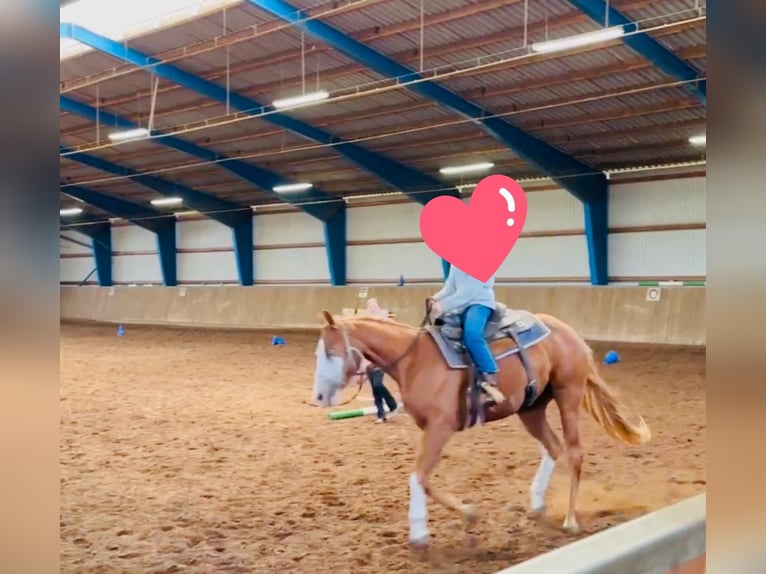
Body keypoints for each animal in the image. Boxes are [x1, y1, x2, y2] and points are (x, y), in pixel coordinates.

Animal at [312, 305, 651, 548]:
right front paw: (462, 515)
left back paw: (569, 520)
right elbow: (422, 478)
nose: (318, 397)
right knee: (554, 447)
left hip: (569, 394)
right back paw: (537, 502)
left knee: (575, 453)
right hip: (531, 408)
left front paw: (424, 531)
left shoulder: (440, 427)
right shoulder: (431, 430)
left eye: (329, 352)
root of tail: (570, 334)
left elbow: (418, 477)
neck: (416, 360)